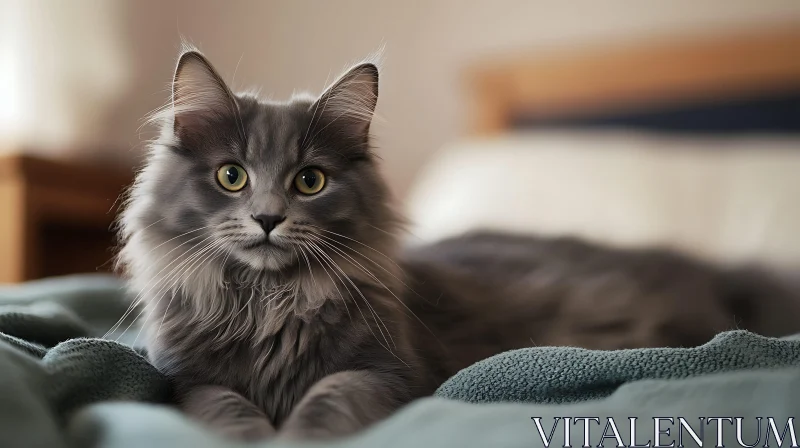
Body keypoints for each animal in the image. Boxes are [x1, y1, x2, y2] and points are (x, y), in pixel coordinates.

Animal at [117, 46, 800, 440]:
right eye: (231, 176)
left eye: (309, 180)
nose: (266, 218)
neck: (268, 303)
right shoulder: (188, 380)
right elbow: (223, 410)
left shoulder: (390, 371)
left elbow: (328, 400)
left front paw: (299, 436)